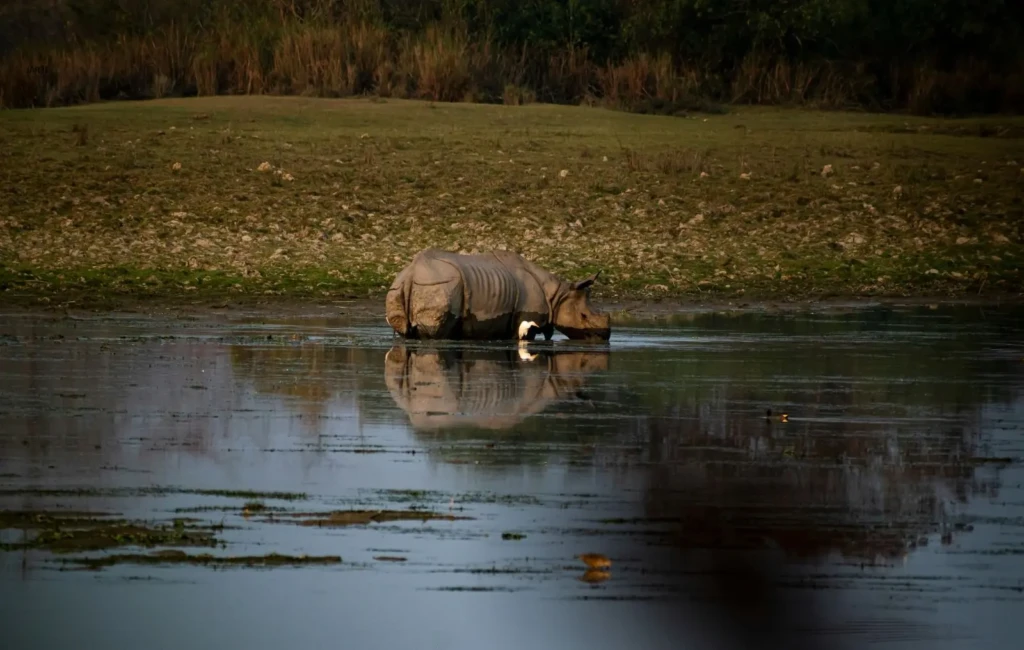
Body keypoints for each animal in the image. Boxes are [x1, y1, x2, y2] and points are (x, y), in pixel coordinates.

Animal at [385, 248, 611, 341]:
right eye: (583, 316)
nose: (604, 337)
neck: (557, 295)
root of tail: (411, 273)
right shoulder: (527, 318)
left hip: (398, 288)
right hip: (440, 284)